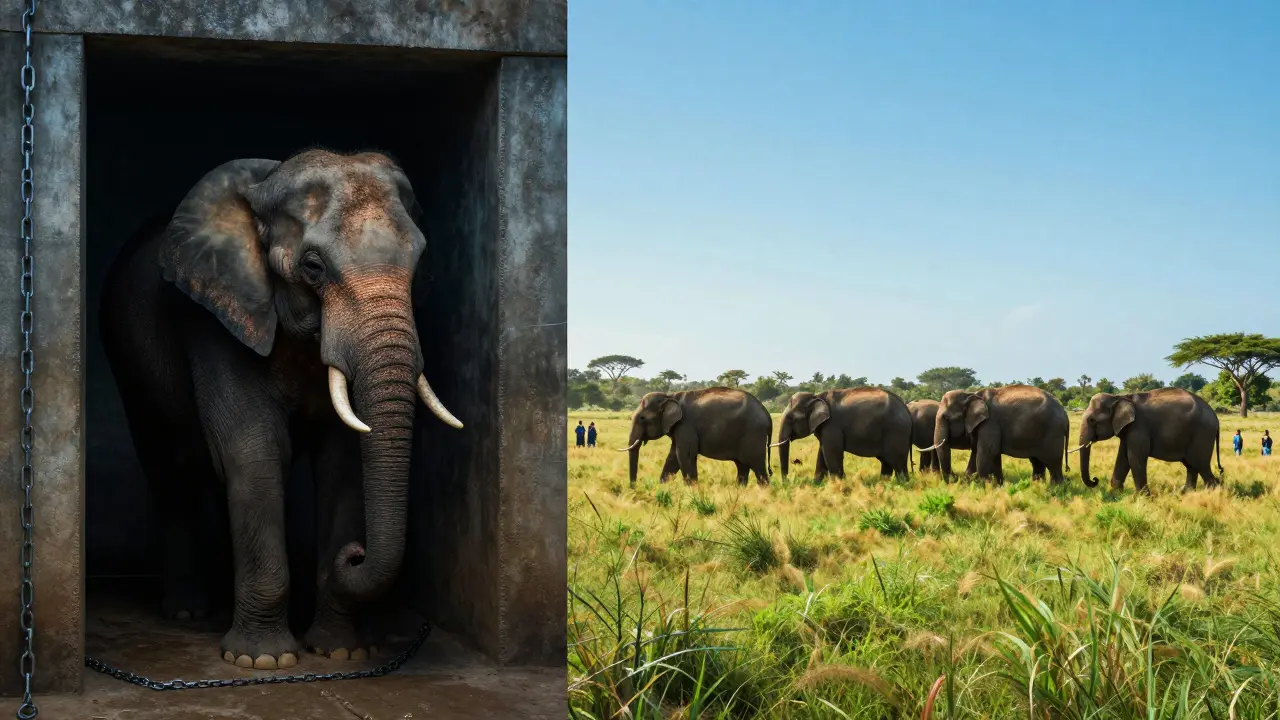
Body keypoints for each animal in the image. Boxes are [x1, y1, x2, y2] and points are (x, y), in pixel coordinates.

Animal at [99, 150, 463, 670]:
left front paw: (342, 651)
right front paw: (262, 662)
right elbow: (255, 452)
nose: (355, 554)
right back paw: (187, 613)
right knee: (169, 468)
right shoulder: (217, 319)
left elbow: (342, 462)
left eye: (419, 269)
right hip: (128, 358)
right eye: (312, 267)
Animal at [621, 387, 772, 487]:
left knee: (757, 466)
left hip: (753, 434)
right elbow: (673, 457)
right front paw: (663, 488)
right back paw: (740, 491)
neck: (670, 396)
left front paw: (691, 490)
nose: (634, 488)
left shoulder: (686, 425)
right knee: (742, 466)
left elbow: (684, 455)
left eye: (642, 418)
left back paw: (764, 492)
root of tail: (767, 415)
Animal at [774, 389, 913, 482]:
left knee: (898, 464)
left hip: (896, 433)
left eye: (791, 418)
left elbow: (831, 452)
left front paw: (838, 485)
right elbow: (822, 453)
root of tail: (906, 409)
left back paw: (903, 485)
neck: (817, 396)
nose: (787, 482)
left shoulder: (832, 426)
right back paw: (884, 484)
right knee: (887, 463)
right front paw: (817, 485)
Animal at [925, 384, 1070, 485]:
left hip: (1052, 432)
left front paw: (983, 486)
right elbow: (982, 452)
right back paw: (1037, 486)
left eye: (947, 418)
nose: (955, 477)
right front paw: (996, 485)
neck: (971, 394)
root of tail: (1064, 413)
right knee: (1037, 462)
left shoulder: (990, 423)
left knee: (1052, 462)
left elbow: (986, 452)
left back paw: (1055, 490)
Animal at [1072, 388, 1222, 494]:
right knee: (1191, 465)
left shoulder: (1139, 427)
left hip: (1202, 434)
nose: (1095, 479)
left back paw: (1213, 494)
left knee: (1199, 463)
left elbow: (1134, 458)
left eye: (1092, 420)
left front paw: (1143, 498)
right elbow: (1123, 457)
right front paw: (1116, 494)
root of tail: (1216, 418)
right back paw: (1185, 493)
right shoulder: (1128, 429)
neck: (1121, 397)